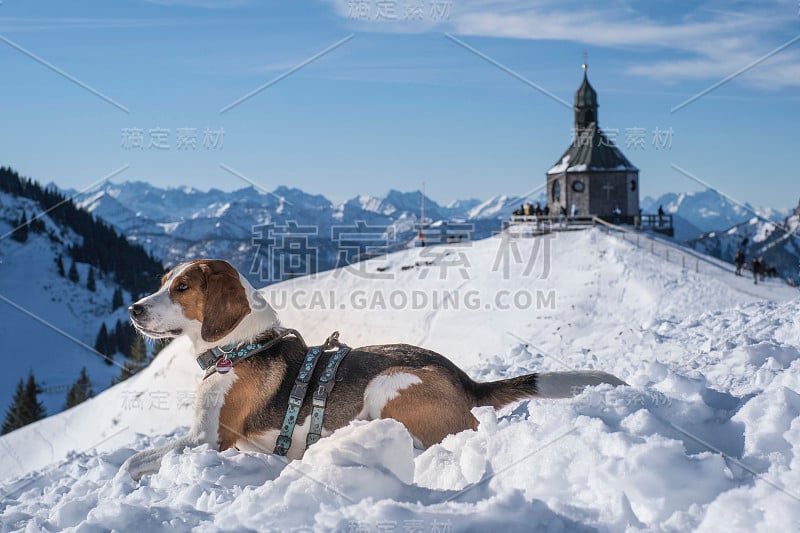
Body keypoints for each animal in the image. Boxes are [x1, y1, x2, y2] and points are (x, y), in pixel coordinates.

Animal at [122, 260, 628, 480]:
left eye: (182, 287)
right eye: (163, 280)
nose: (132, 309)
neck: (241, 348)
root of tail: (466, 381)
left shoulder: (207, 439)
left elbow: (131, 461)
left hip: (388, 384)